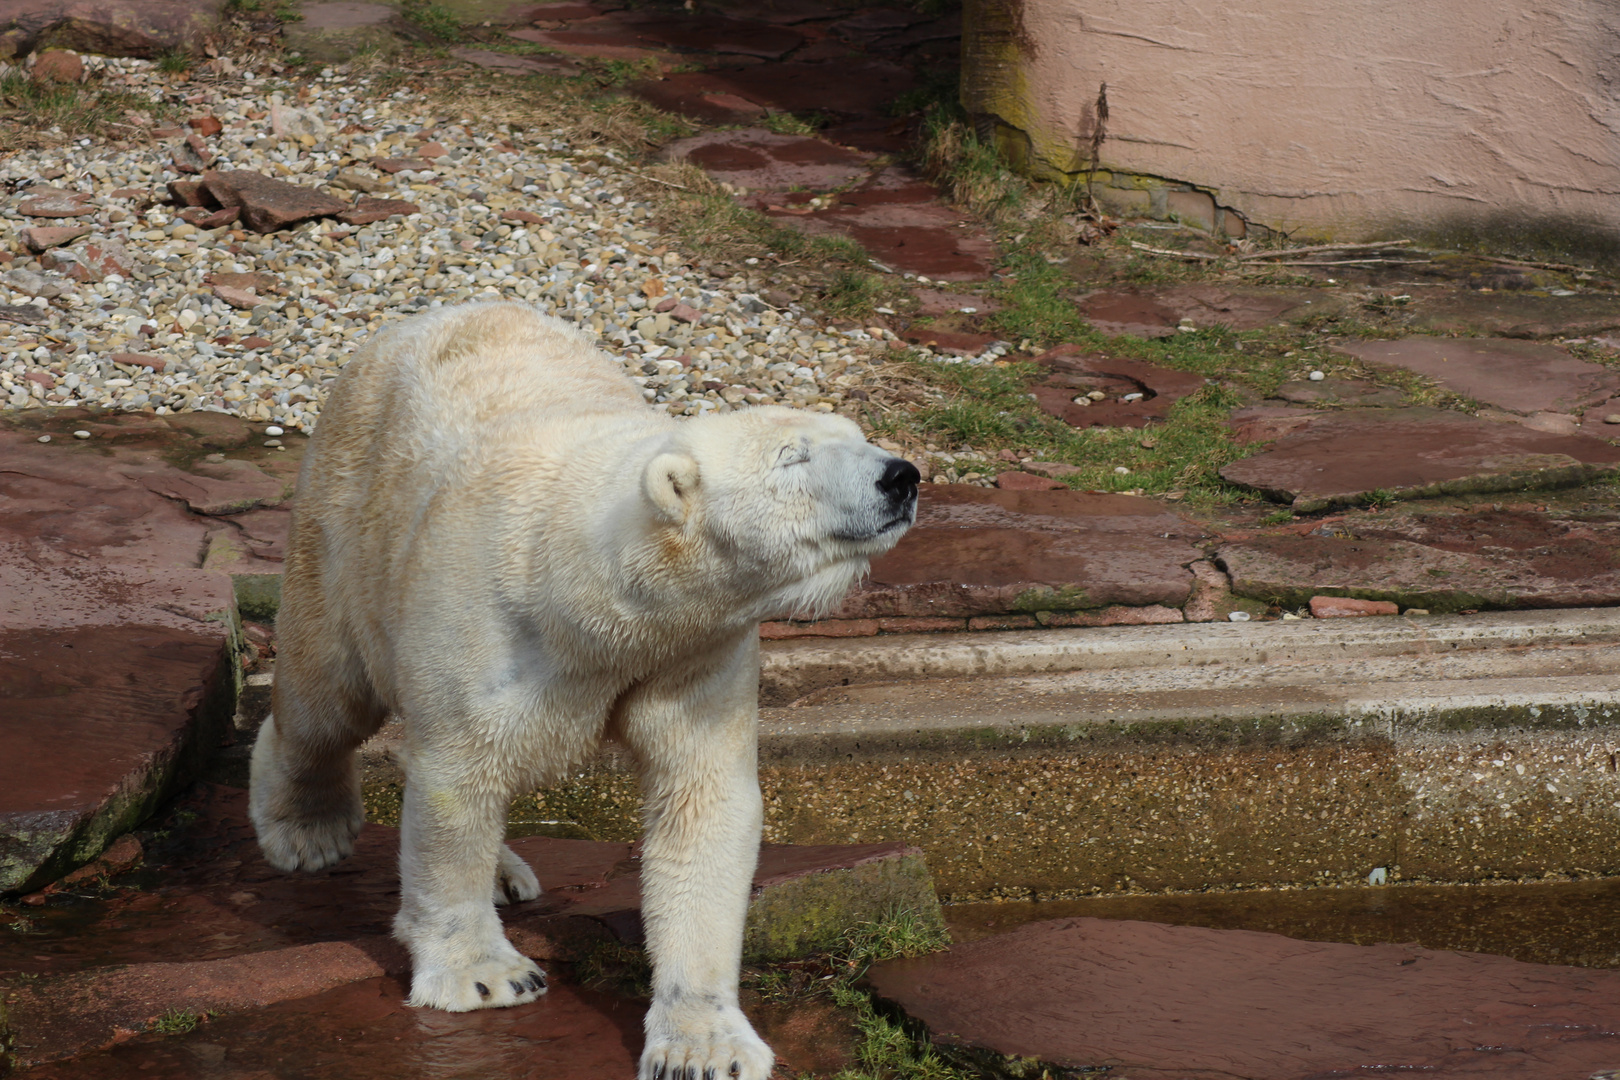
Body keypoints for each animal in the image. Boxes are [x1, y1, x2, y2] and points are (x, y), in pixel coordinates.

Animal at [246, 302, 920, 1080]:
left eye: (859, 437)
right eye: (793, 457)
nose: (902, 476)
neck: (582, 595)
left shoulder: (693, 654)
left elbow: (704, 801)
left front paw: (704, 1044)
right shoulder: (483, 626)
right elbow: (456, 788)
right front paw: (486, 976)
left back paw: (506, 872)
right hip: (347, 519)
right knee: (326, 692)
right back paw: (309, 828)